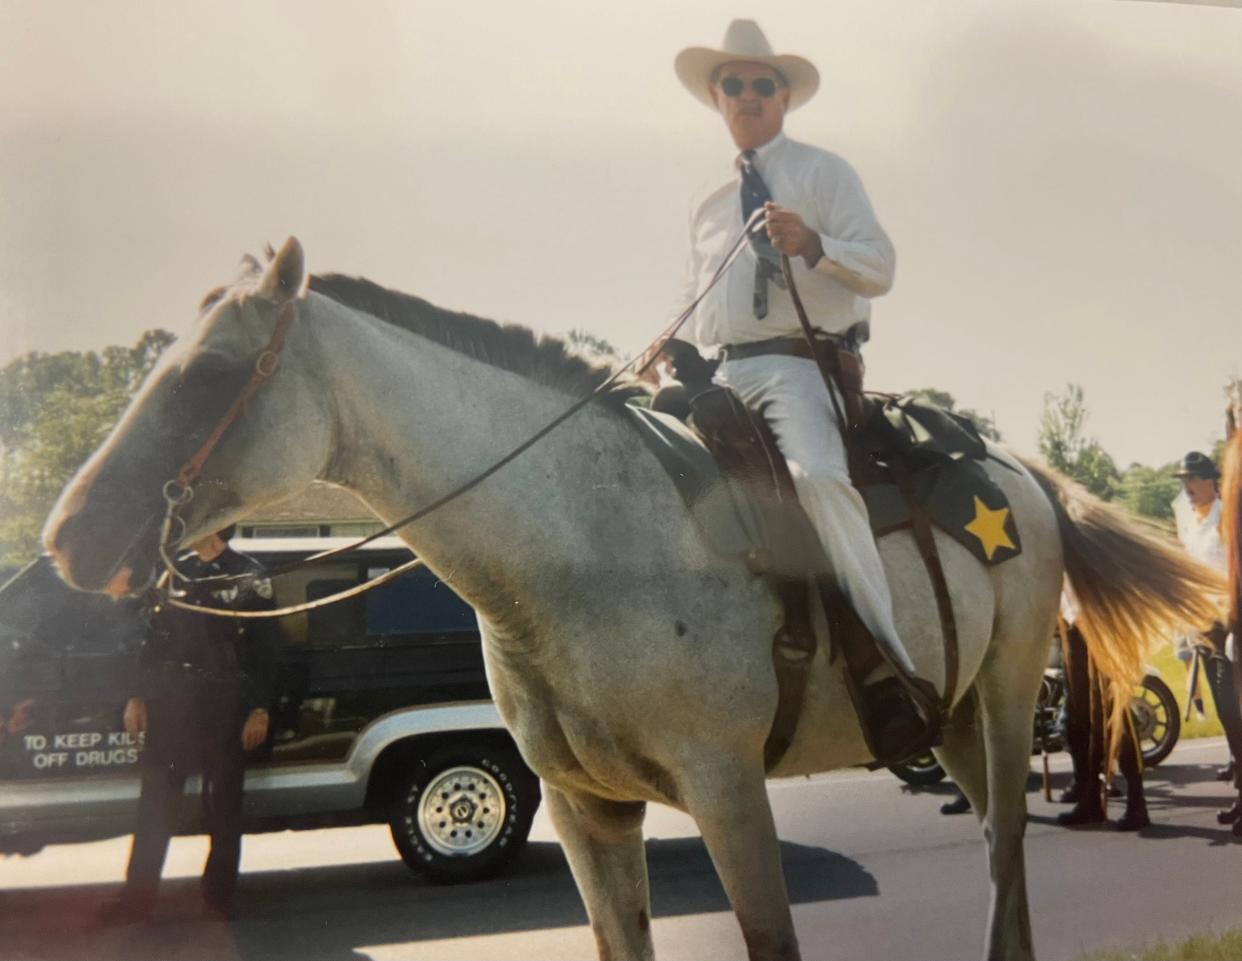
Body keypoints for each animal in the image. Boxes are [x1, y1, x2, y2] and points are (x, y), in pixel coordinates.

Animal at [45, 234, 1222, 961]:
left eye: (208, 375)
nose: (65, 536)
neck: (583, 548)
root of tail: (1017, 467)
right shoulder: (582, 809)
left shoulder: (729, 790)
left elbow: (772, 937)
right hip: (961, 719)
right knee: (994, 845)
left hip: (1012, 690)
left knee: (1008, 851)